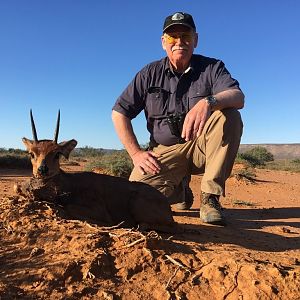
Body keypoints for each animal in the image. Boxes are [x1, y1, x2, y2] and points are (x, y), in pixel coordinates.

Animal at [15, 110, 176, 230]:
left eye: (57, 154)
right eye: (31, 153)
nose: (42, 169)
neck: (69, 184)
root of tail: (167, 207)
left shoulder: (99, 209)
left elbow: (70, 207)